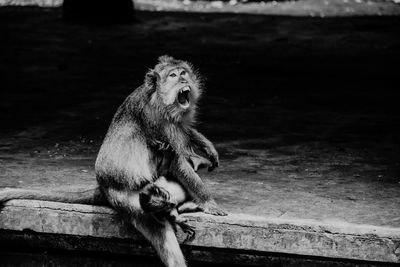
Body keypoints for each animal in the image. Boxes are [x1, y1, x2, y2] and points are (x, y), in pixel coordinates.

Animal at [0, 55, 225, 266]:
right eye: (173, 75)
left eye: (183, 72)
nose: (183, 79)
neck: (159, 99)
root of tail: (103, 186)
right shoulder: (157, 122)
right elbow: (177, 161)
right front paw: (209, 202)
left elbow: (186, 133)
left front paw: (207, 147)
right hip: (134, 200)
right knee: (161, 228)